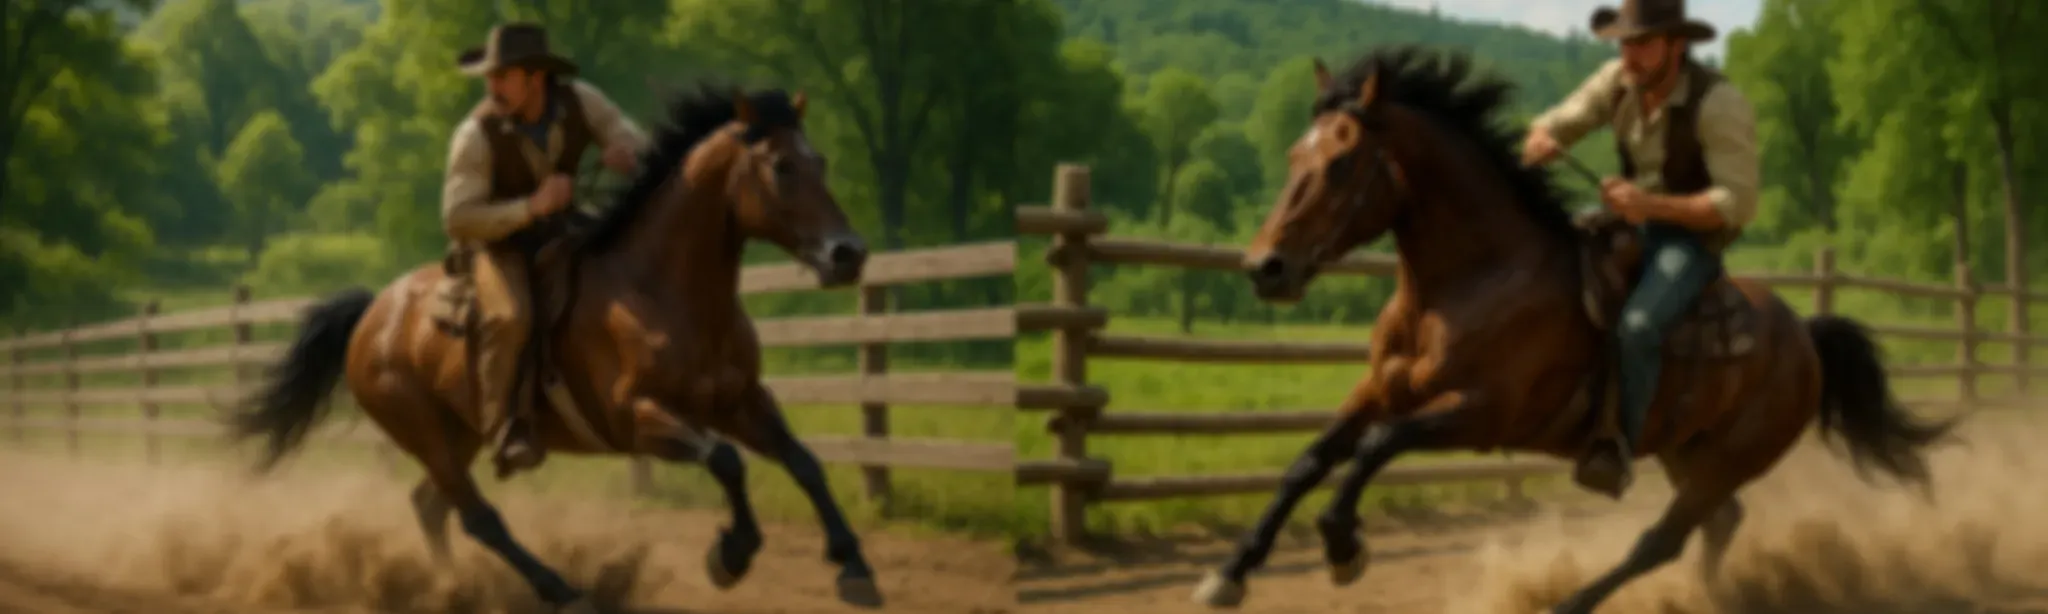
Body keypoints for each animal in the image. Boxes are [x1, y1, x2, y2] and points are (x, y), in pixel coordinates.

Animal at [226, 85, 887, 613]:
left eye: (820, 160)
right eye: (781, 166)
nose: (847, 254)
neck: (662, 289)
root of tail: (374, 314)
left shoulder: (741, 400)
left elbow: (802, 460)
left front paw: (854, 567)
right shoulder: (638, 417)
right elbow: (726, 460)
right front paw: (731, 554)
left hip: (461, 432)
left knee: (430, 506)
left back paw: (454, 589)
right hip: (423, 433)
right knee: (477, 517)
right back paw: (562, 590)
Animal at [1189, 46, 1956, 613]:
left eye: (1343, 161)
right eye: (1295, 156)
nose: (1265, 267)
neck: (1469, 282)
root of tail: (1804, 334)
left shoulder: (1480, 413)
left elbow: (1375, 448)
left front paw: (1345, 549)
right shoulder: (1381, 389)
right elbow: (1310, 461)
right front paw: (1229, 572)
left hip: (1732, 457)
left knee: (1661, 541)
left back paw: (1571, 604)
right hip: (1687, 450)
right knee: (1720, 524)